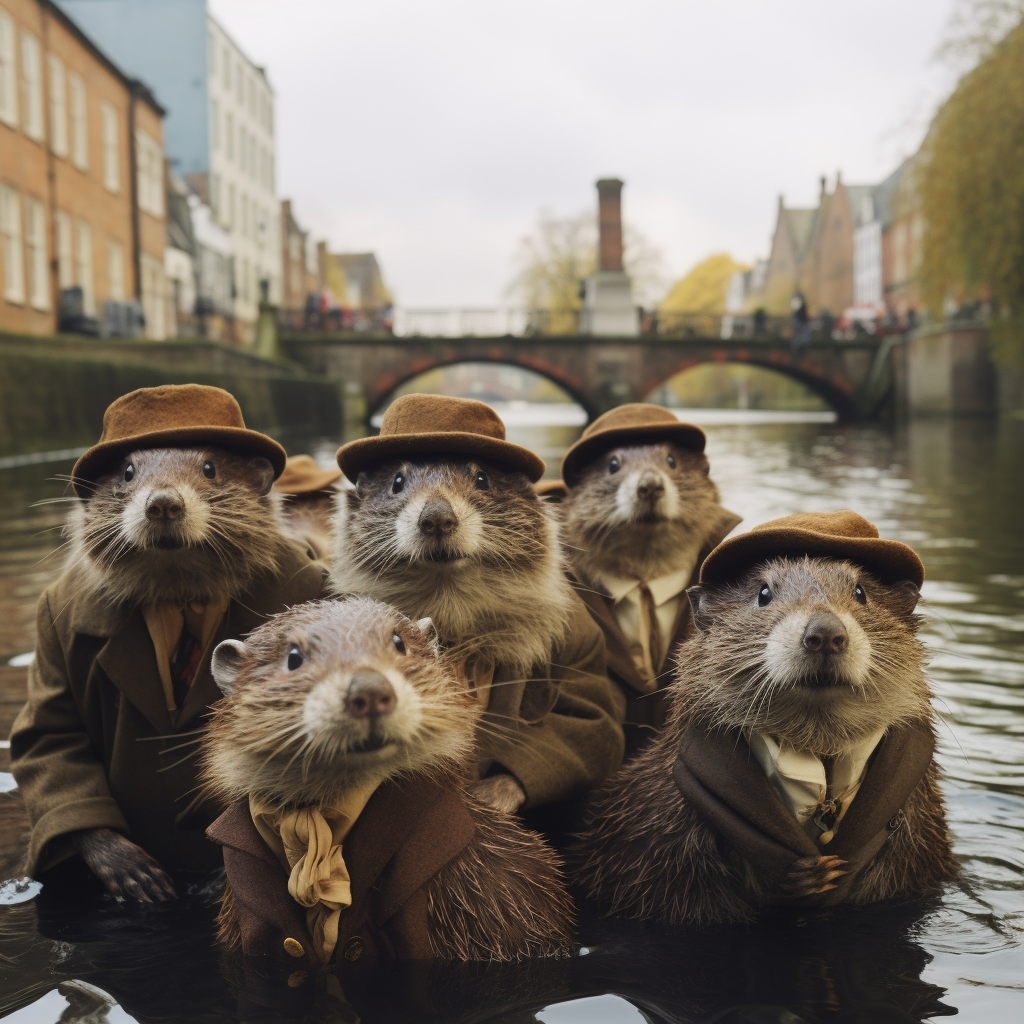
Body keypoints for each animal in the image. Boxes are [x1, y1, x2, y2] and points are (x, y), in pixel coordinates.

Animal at [9, 385, 327, 905]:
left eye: (210, 467)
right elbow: (51, 733)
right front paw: (128, 867)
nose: (162, 503)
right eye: (127, 471)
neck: (178, 595)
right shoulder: (53, 626)